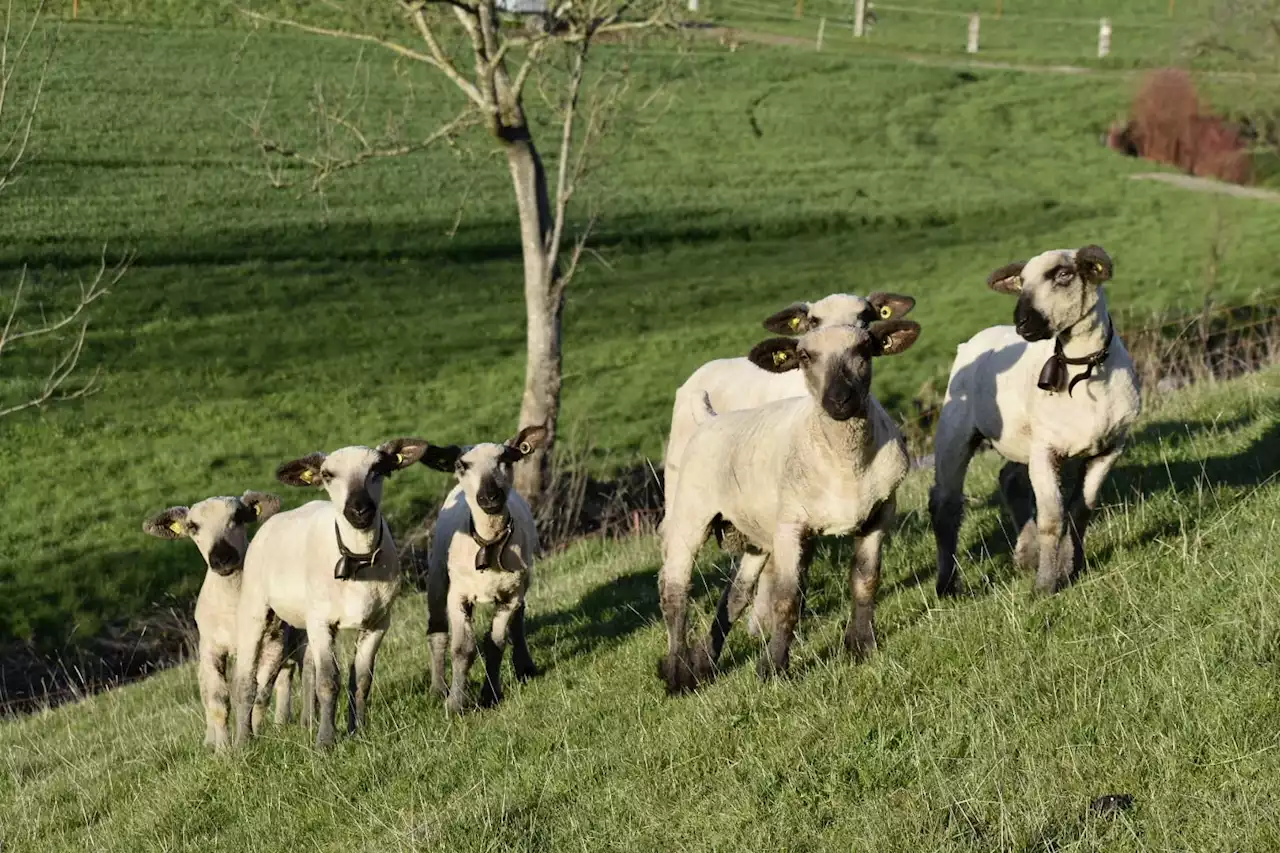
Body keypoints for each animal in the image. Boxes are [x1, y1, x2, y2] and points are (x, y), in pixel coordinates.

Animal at [144, 489, 311, 747]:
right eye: (192, 526)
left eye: (239, 517)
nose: (222, 557)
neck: (234, 605)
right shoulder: (211, 647)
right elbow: (216, 699)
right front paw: (223, 749)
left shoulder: (272, 642)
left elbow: (257, 693)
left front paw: (251, 736)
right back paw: (210, 741)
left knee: (292, 675)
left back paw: (284, 722)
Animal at [231, 435, 430, 747]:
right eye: (327, 475)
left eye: (378, 468)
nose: (359, 509)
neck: (357, 559)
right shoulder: (322, 621)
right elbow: (328, 681)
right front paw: (326, 742)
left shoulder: (378, 623)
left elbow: (361, 679)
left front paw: (357, 730)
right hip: (255, 609)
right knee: (246, 680)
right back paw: (244, 742)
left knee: (307, 669)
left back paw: (307, 723)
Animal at [417, 422, 542, 712]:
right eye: (462, 465)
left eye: (506, 459)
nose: (489, 496)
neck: (489, 540)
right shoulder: (458, 595)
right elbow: (462, 648)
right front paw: (455, 703)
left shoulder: (511, 595)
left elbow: (495, 644)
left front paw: (490, 695)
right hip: (438, 576)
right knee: (437, 631)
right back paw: (438, 688)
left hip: (523, 582)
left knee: (518, 623)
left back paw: (525, 667)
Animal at [660, 317, 921, 691]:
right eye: (805, 356)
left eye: (863, 350)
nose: (839, 399)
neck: (846, 463)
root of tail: (709, 417)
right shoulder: (790, 527)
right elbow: (787, 599)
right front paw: (773, 668)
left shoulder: (879, 514)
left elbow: (866, 580)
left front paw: (861, 646)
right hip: (690, 515)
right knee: (675, 593)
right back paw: (677, 674)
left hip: (754, 534)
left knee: (734, 596)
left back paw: (704, 662)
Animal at [931, 242, 1141, 594]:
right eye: (1022, 282)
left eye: (1063, 275)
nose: (1023, 322)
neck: (1085, 371)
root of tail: (974, 340)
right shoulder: (1046, 450)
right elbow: (1052, 519)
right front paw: (1046, 585)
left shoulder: (1109, 449)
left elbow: (1080, 511)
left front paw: (1073, 567)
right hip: (956, 433)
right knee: (944, 504)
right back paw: (947, 584)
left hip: (1022, 439)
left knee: (1010, 480)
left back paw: (1026, 555)